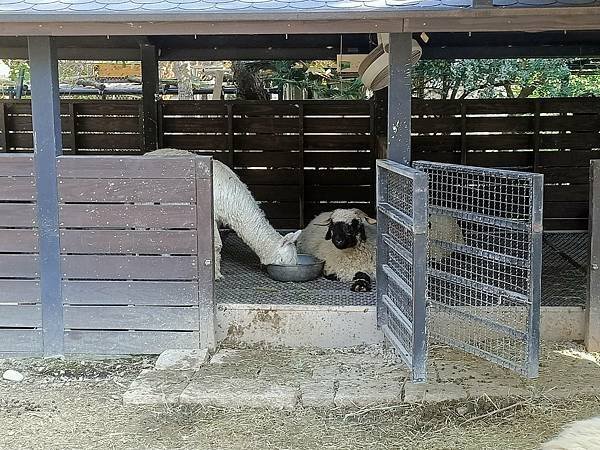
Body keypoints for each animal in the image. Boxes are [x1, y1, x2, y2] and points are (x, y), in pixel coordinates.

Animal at [145, 149, 300, 280]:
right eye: (282, 260)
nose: (291, 271)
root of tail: (147, 154)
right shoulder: (211, 215)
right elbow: (217, 244)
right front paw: (216, 276)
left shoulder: (218, 219)